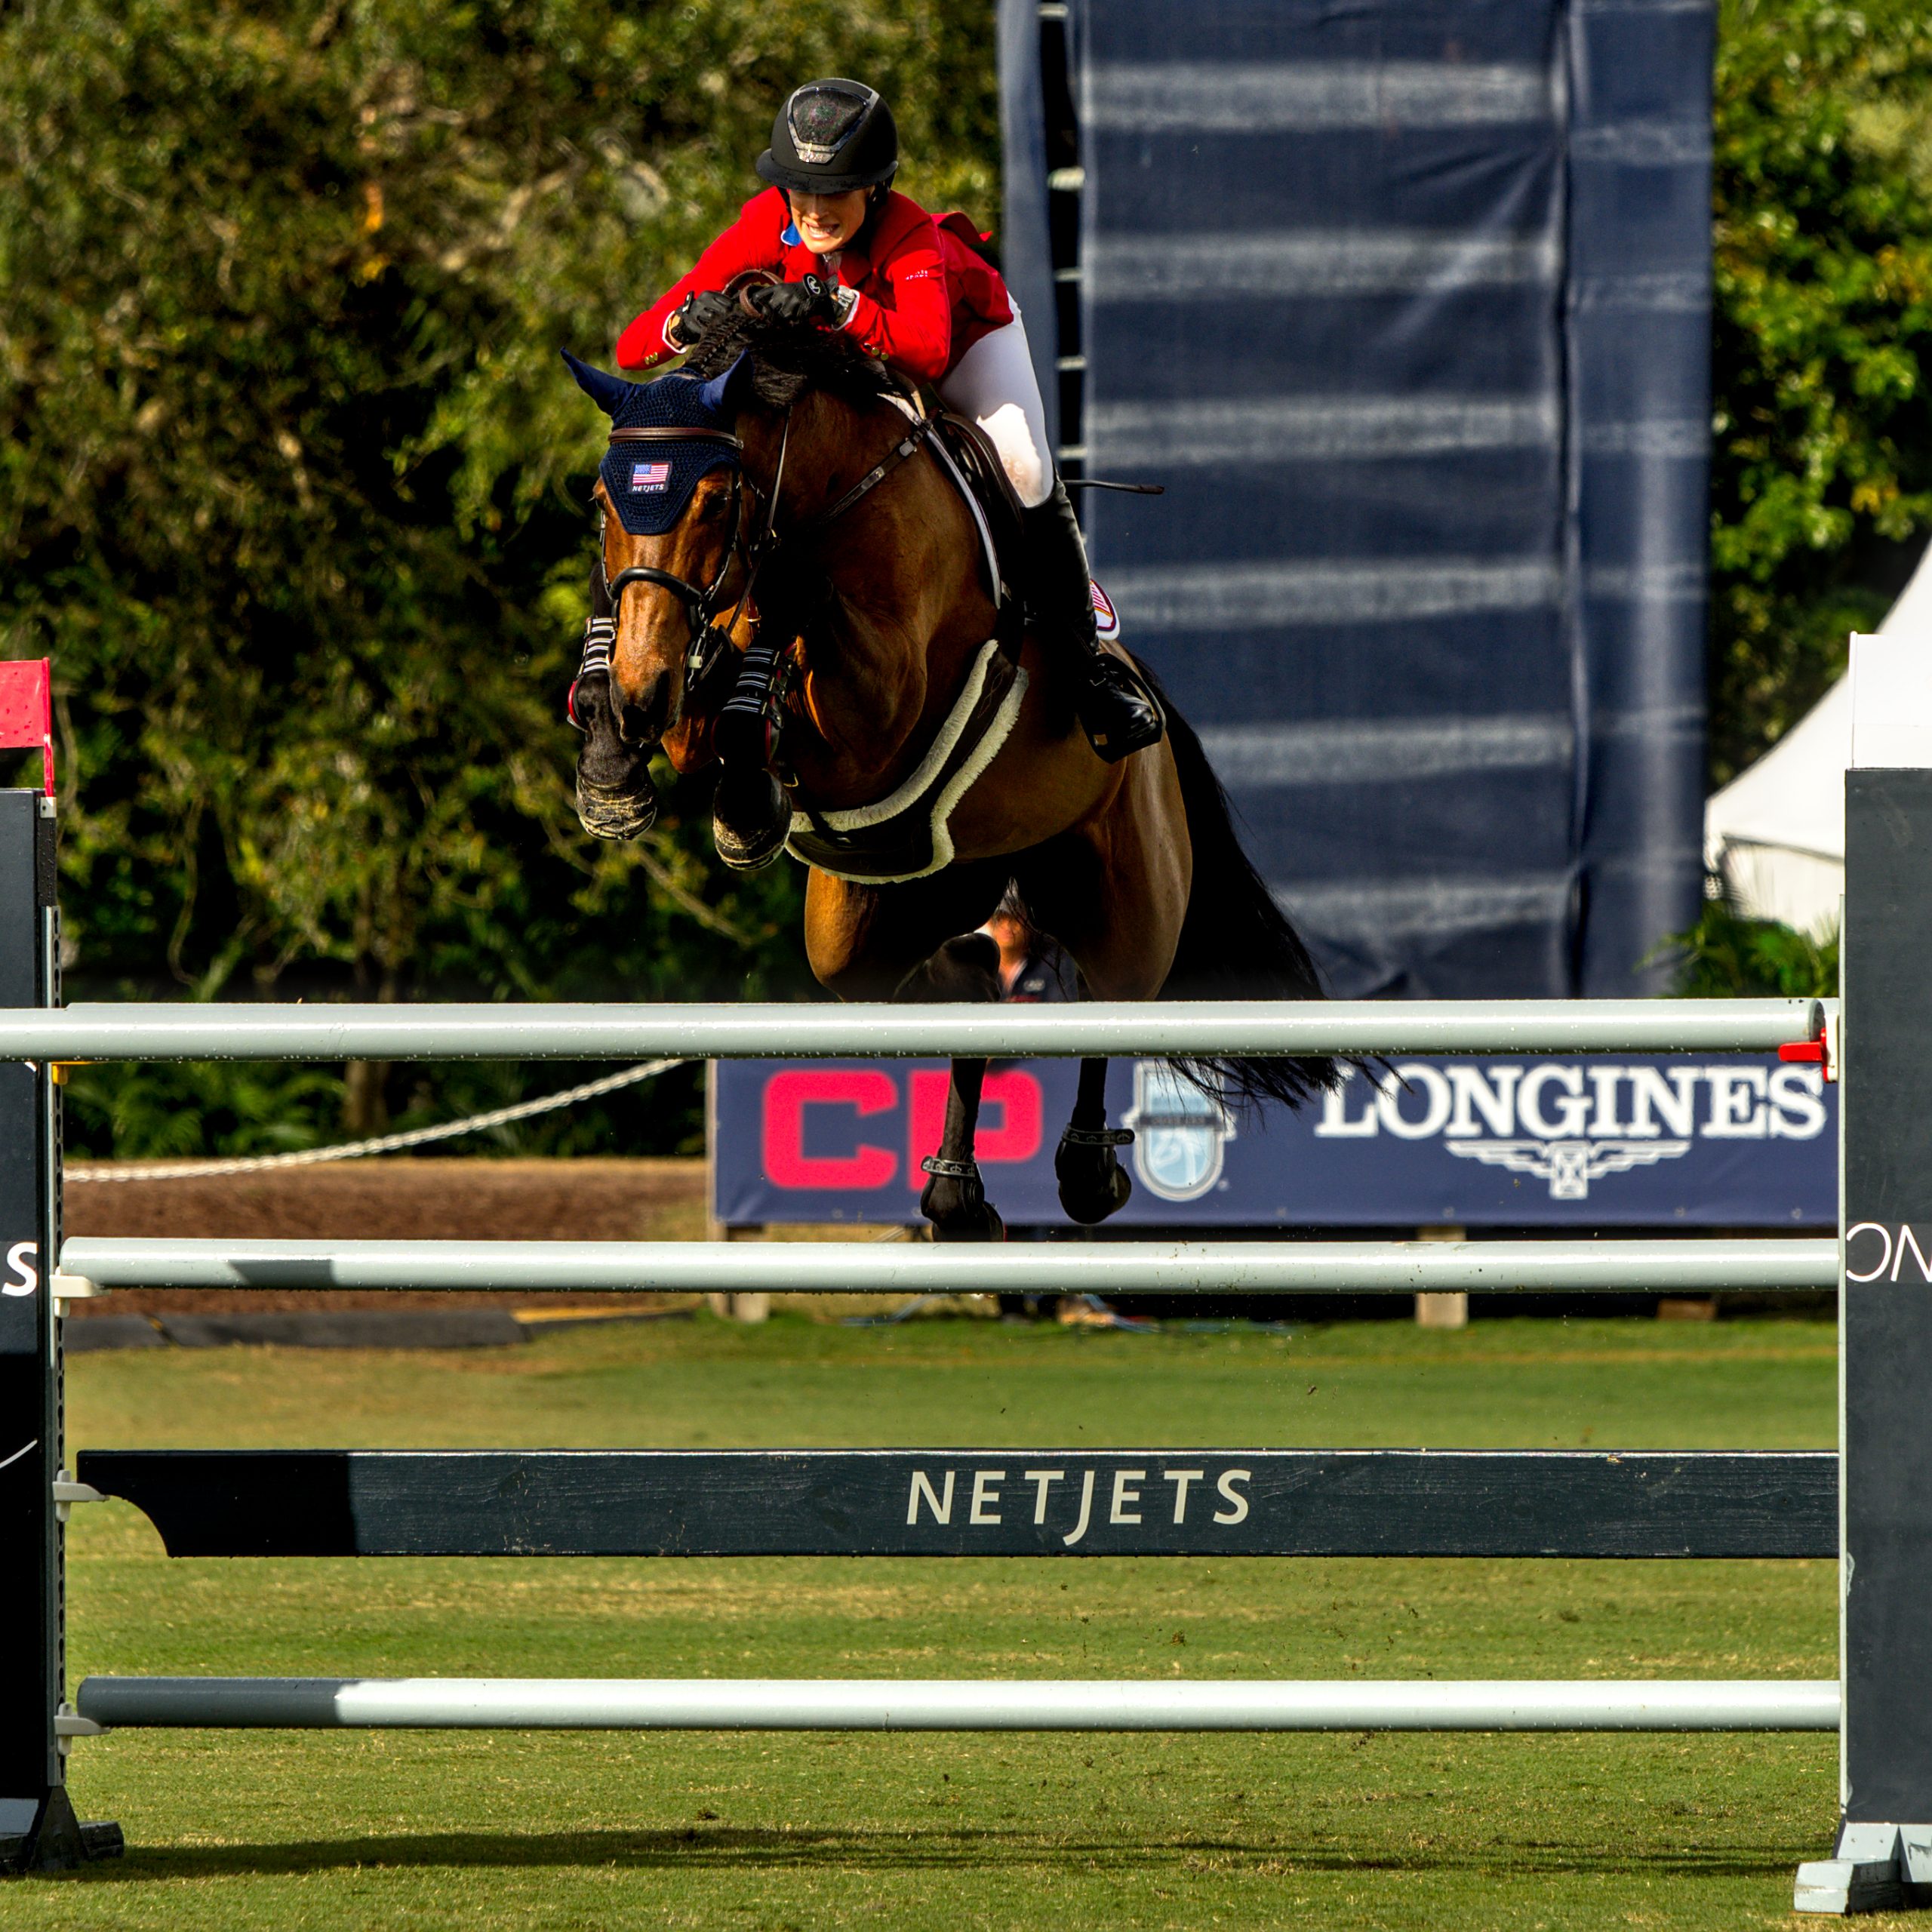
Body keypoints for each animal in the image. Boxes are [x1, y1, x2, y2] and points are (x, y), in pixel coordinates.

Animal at [564, 315, 1337, 1236]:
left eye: (715, 500)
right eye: (602, 503)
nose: (643, 692)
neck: (829, 490)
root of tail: (1142, 685)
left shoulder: (881, 703)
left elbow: (785, 646)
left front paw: (746, 795)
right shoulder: (698, 678)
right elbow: (708, 698)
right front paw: (618, 765)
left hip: (1127, 898)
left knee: (1110, 1002)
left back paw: (1085, 1172)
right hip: (887, 915)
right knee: (963, 984)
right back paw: (957, 1191)